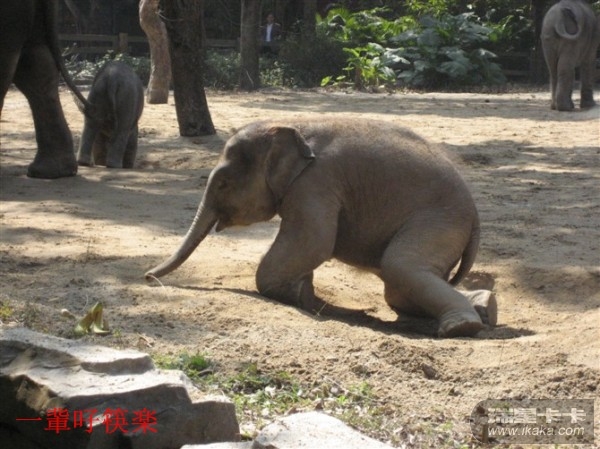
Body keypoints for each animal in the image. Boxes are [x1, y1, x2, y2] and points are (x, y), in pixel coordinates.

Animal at [146, 119, 497, 338]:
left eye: (222, 183)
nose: (148, 278)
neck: (292, 125)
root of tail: (476, 217)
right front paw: (306, 290)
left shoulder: (316, 182)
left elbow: (314, 241)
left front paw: (302, 295)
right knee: (400, 288)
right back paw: (485, 309)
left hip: (439, 222)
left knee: (400, 268)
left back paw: (461, 328)